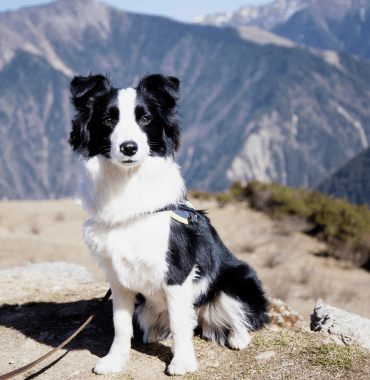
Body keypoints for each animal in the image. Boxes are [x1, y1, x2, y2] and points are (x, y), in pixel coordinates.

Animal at [68, 73, 268, 374]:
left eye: (145, 119)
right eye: (107, 120)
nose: (129, 147)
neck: (129, 188)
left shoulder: (177, 271)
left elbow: (180, 324)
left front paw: (182, 362)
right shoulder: (117, 276)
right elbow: (120, 323)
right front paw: (115, 360)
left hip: (237, 280)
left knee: (237, 315)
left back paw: (237, 337)